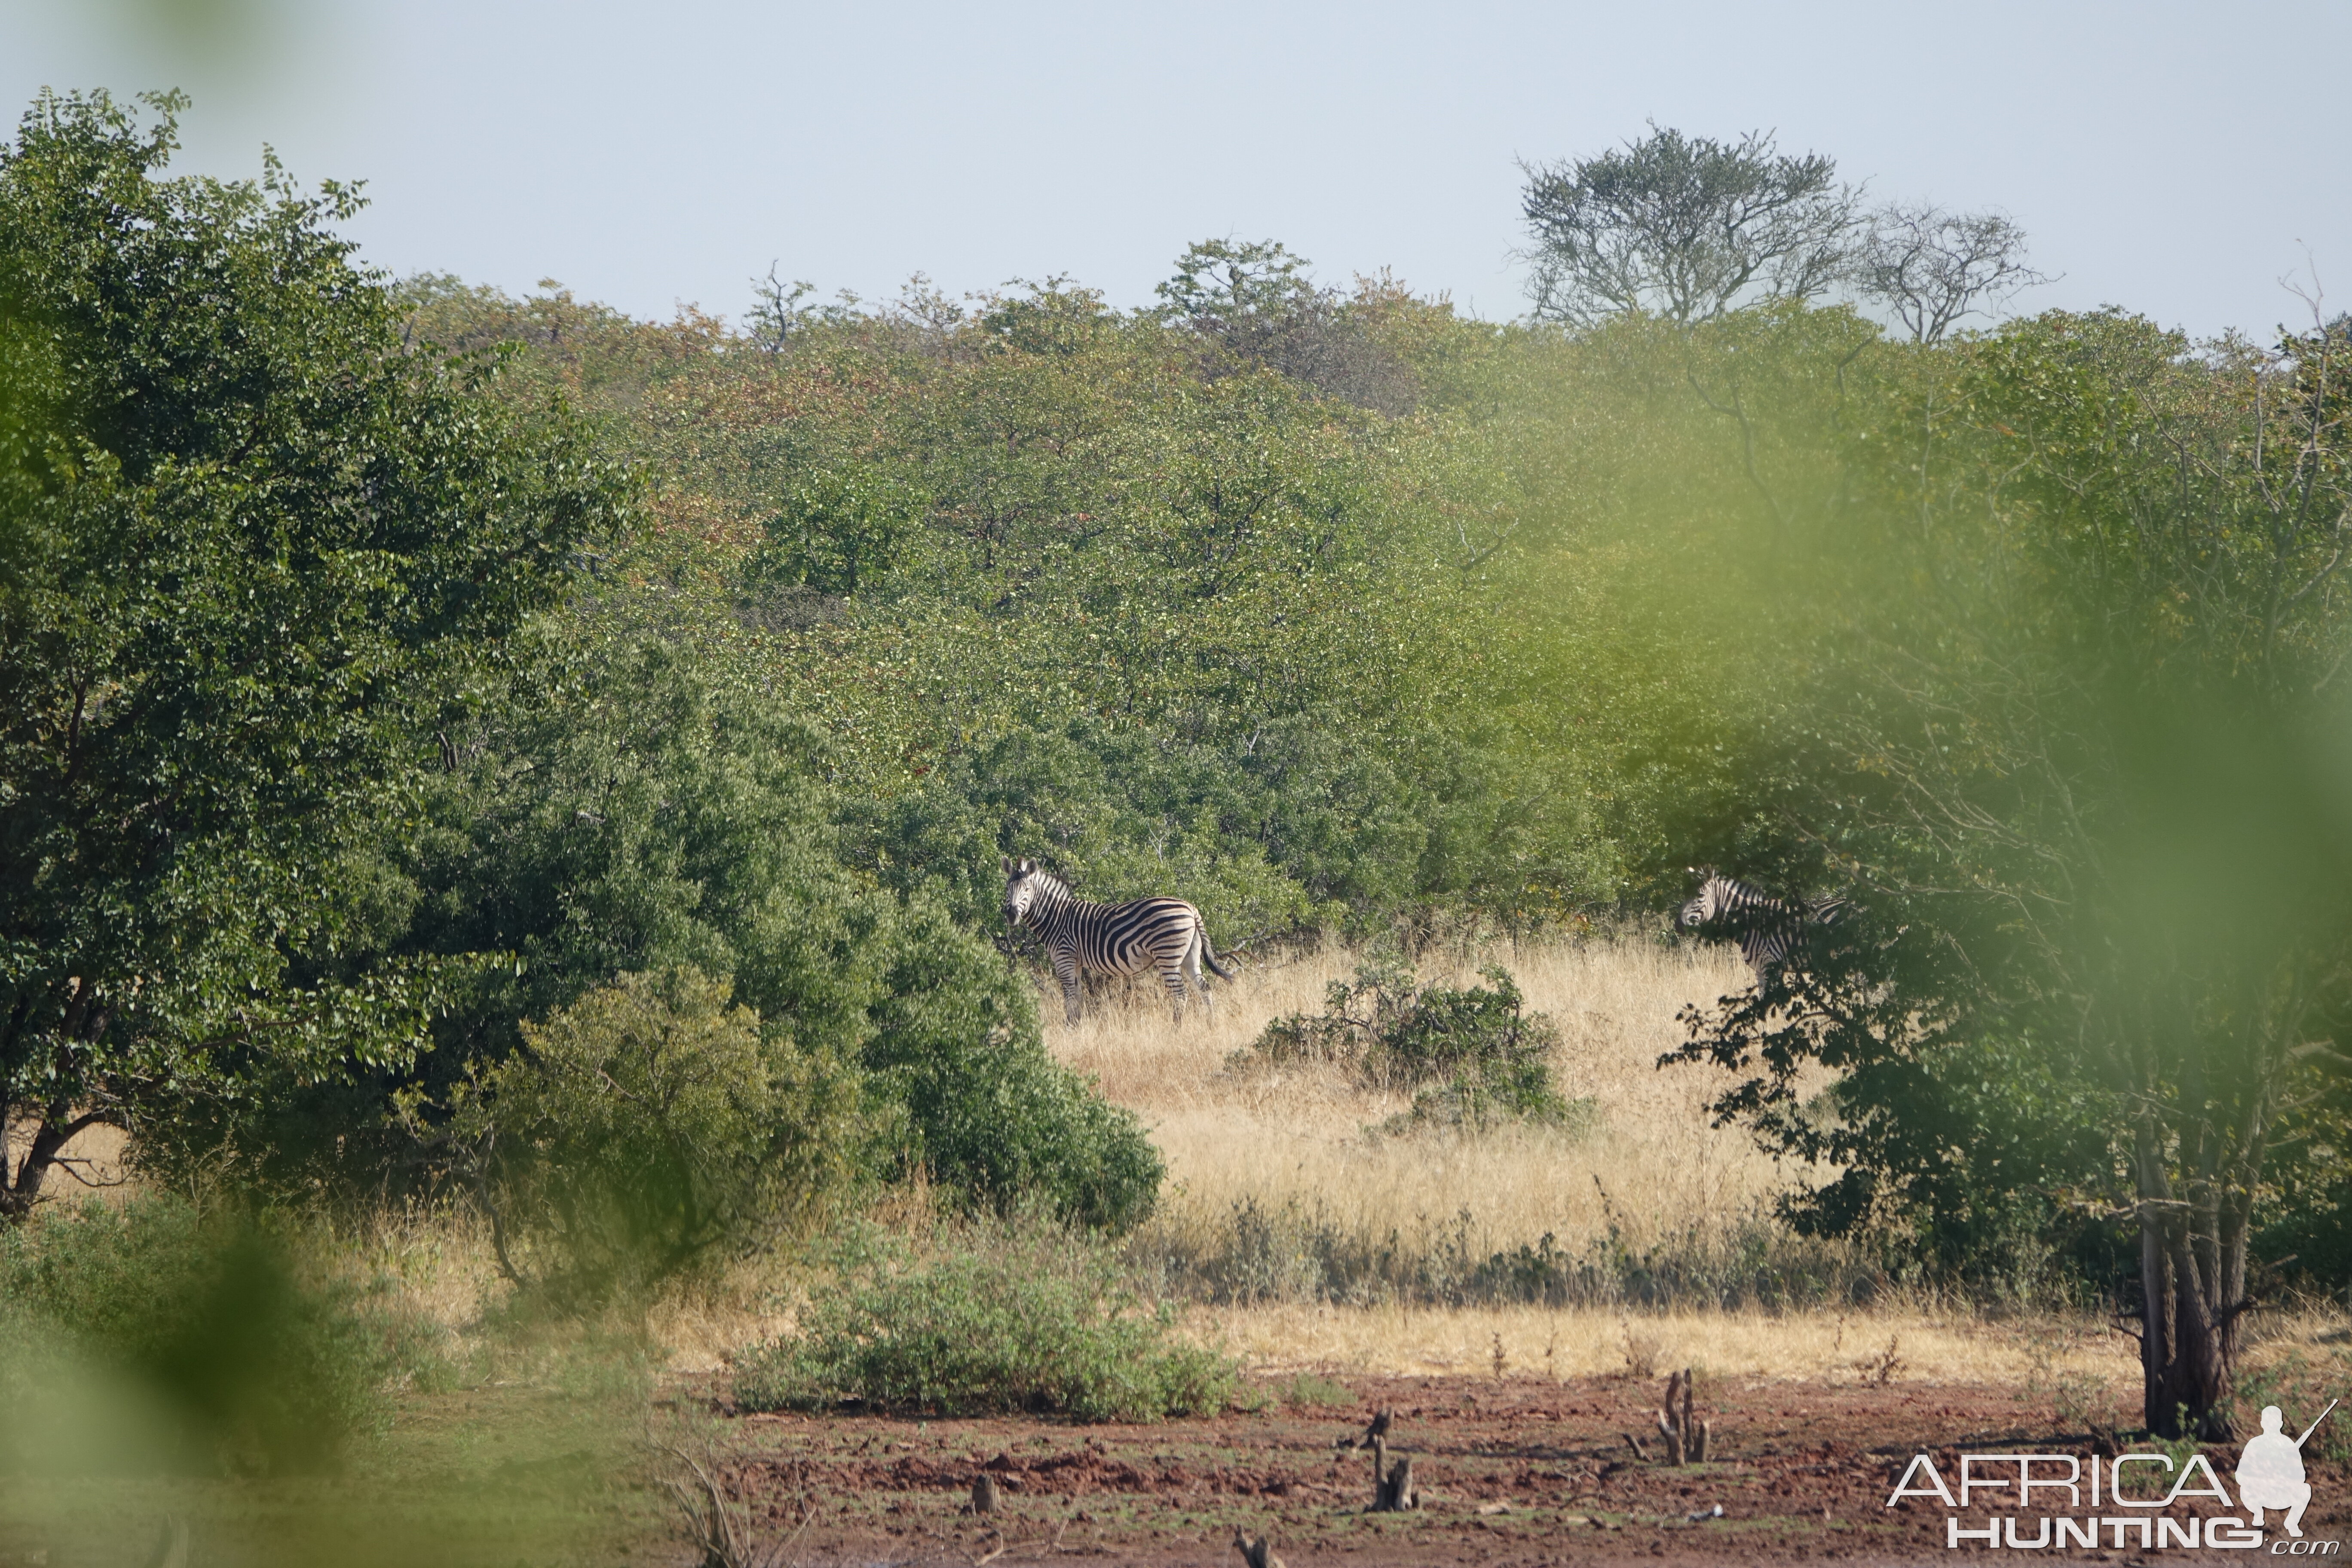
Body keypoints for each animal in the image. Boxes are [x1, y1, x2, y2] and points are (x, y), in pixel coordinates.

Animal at [1002, 860, 1242, 1029]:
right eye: (1007, 888)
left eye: (1027, 889)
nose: (1011, 915)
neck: (1055, 917)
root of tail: (1191, 908)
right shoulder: (1076, 961)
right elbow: (1077, 996)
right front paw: (1077, 1026)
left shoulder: (1064, 956)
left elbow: (1069, 996)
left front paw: (1069, 1028)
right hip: (1190, 956)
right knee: (1204, 987)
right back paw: (1211, 1025)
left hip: (1168, 955)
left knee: (1180, 994)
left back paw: (1176, 1030)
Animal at [1675, 870, 1853, 983]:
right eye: (1684, 895)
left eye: (1700, 896)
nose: (1678, 926)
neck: (1752, 921)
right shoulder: (1760, 970)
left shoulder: (1771, 965)